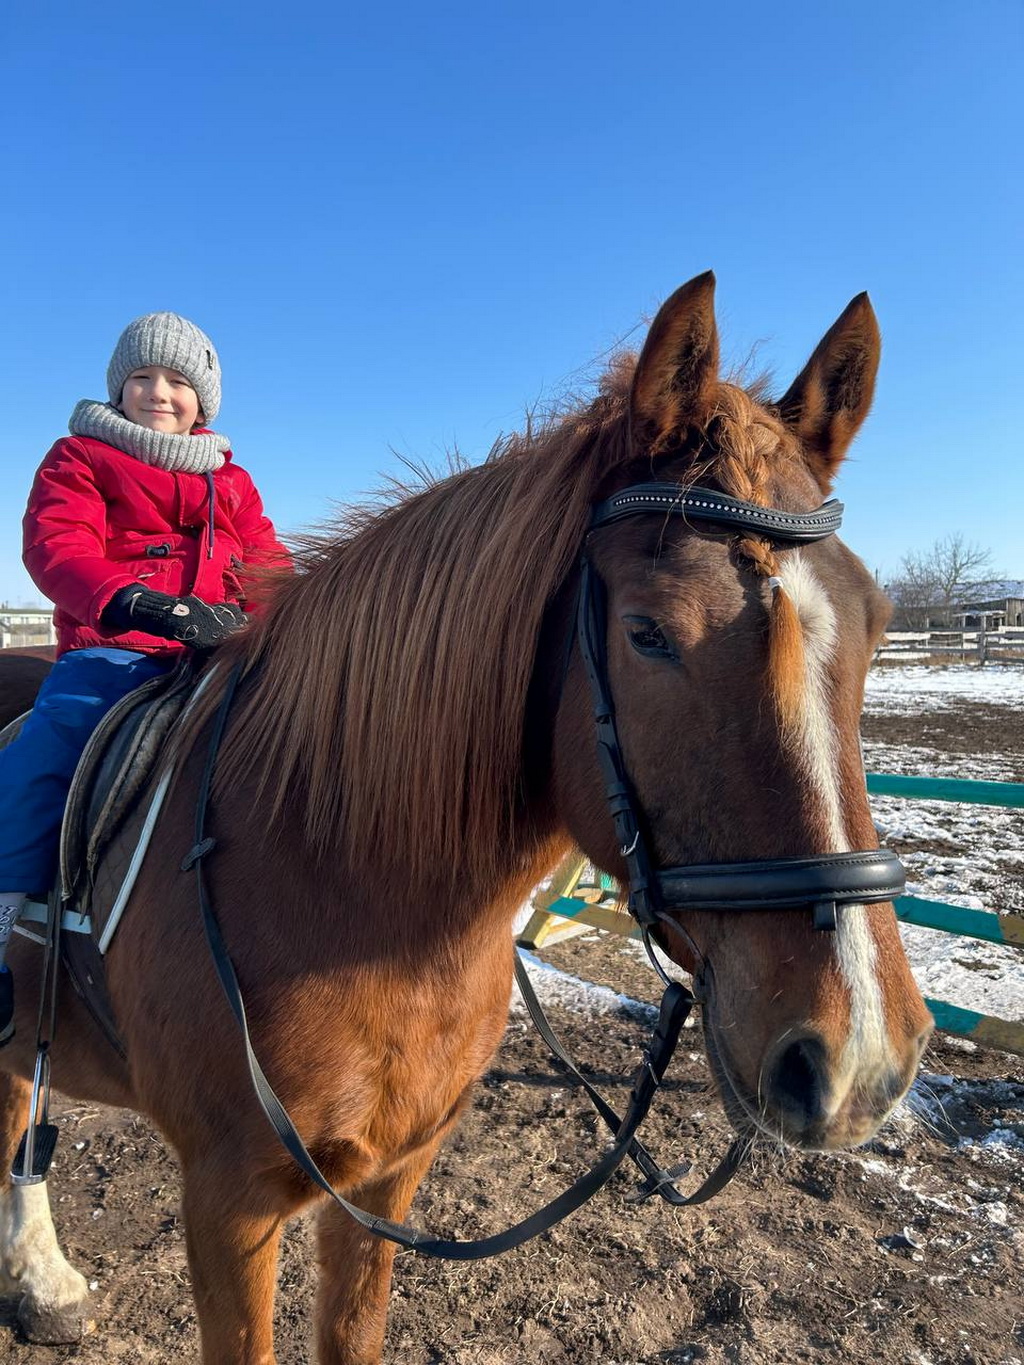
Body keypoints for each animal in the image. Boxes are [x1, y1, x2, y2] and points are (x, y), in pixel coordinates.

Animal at [0, 273, 932, 1363]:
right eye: (648, 632)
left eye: (876, 625)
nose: (856, 1060)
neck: (341, 878)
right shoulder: (227, 1203)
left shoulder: (390, 1176)